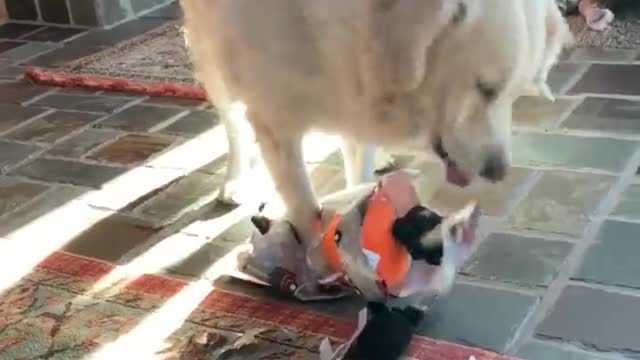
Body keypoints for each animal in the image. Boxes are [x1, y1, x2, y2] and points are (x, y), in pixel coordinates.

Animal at [179, 0, 568, 243]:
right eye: (485, 89)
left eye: (515, 94)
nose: (498, 172)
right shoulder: (276, 122)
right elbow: (304, 205)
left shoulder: (355, 98)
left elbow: (358, 169)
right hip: (211, 60)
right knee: (232, 124)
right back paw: (234, 181)